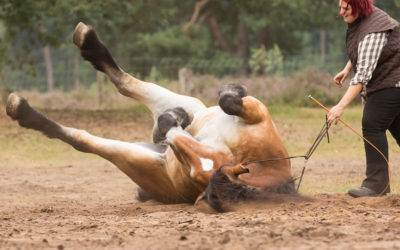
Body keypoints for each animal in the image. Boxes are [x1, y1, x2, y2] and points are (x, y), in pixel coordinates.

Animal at [4, 22, 296, 212]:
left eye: (193, 172)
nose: (169, 130)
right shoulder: (255, 113)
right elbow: (229, 99)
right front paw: (229, 91)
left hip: (135, 156)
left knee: (83, 138)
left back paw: (22, 109)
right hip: (191, 106)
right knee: (128, 84)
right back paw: (89, 42)